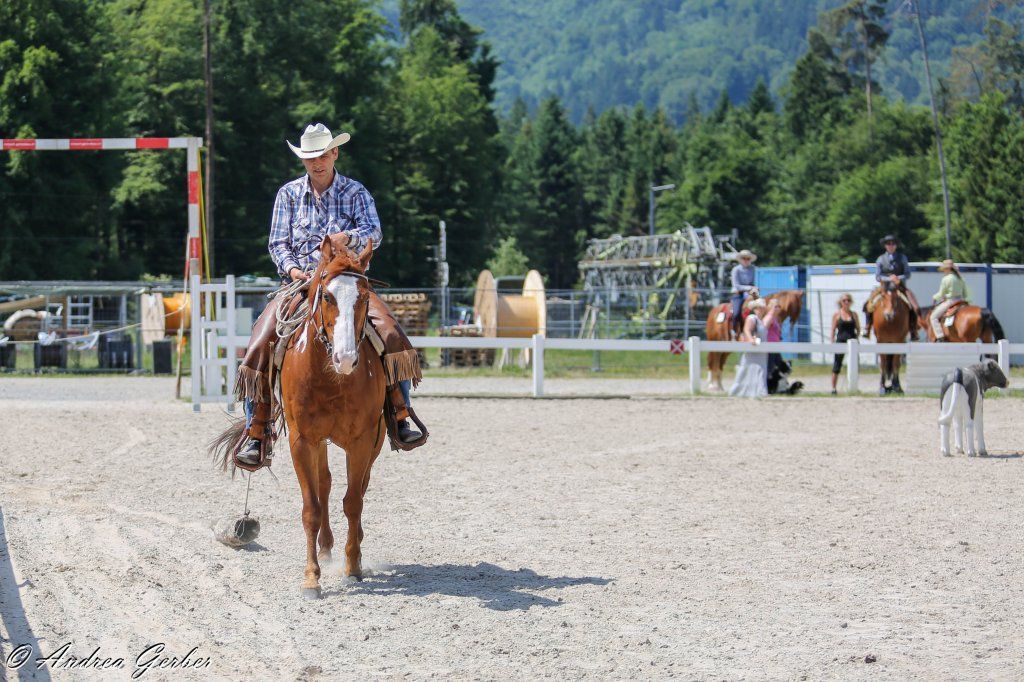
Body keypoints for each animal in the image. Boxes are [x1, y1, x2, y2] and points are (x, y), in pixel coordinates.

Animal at [212, 235, 387, 598]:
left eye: (364, 297)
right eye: (326, 295)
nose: (346, 358)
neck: (331, 376)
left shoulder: (362, 441)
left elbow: (353, 501)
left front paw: (352, 567)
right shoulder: (302, 440)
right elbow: (312, 508)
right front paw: (311, 577)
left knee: (357, 487)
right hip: (317, 441)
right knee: (325, 484)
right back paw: (326, 547)